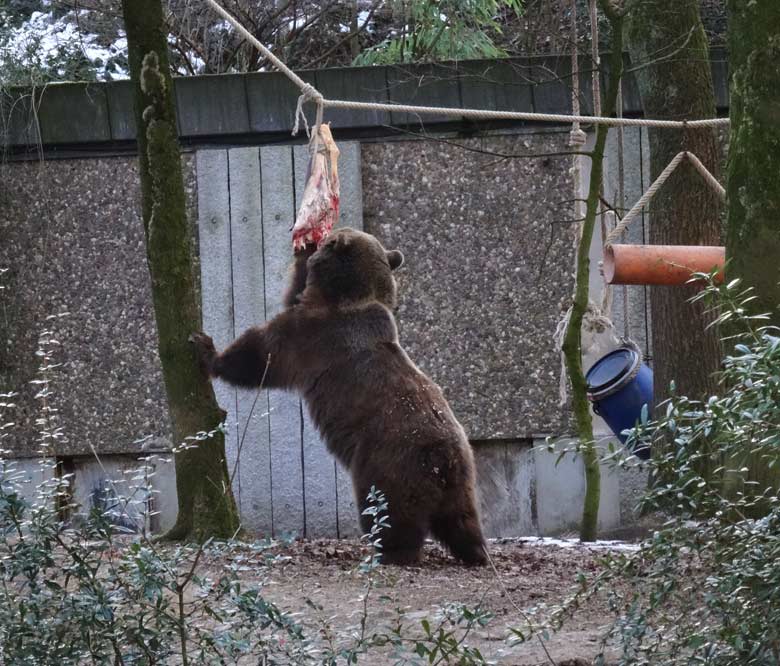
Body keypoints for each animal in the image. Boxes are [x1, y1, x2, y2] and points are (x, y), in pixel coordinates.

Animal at [193, 228, 488, 564]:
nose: (320, 238)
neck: (349, 297)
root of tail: (442, 456)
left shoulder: (315, 336)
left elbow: (262, 352)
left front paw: (208, 351)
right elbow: (293, 294)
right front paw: (303, 249)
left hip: (388, 461)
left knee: (388, 510)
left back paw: (390, 552)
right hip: (462, 474)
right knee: (461, 517)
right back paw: (475, 552)